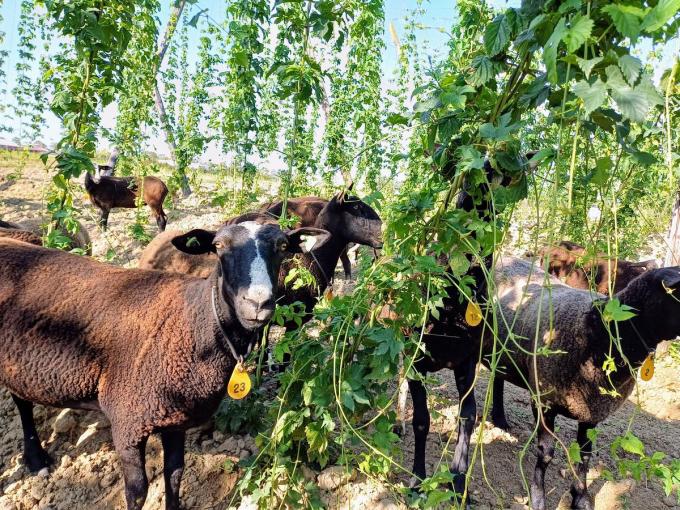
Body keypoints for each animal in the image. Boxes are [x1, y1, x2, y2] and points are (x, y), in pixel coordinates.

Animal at [0, 219, 326, 510]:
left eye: (282, 246)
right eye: (219, 246)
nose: (257, 303)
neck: (194, 322)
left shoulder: (176, 418)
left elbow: (175, 476)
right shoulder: (128, 419)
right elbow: (137, 492)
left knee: (21, 398)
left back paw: (35, 458)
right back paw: (36, 460)